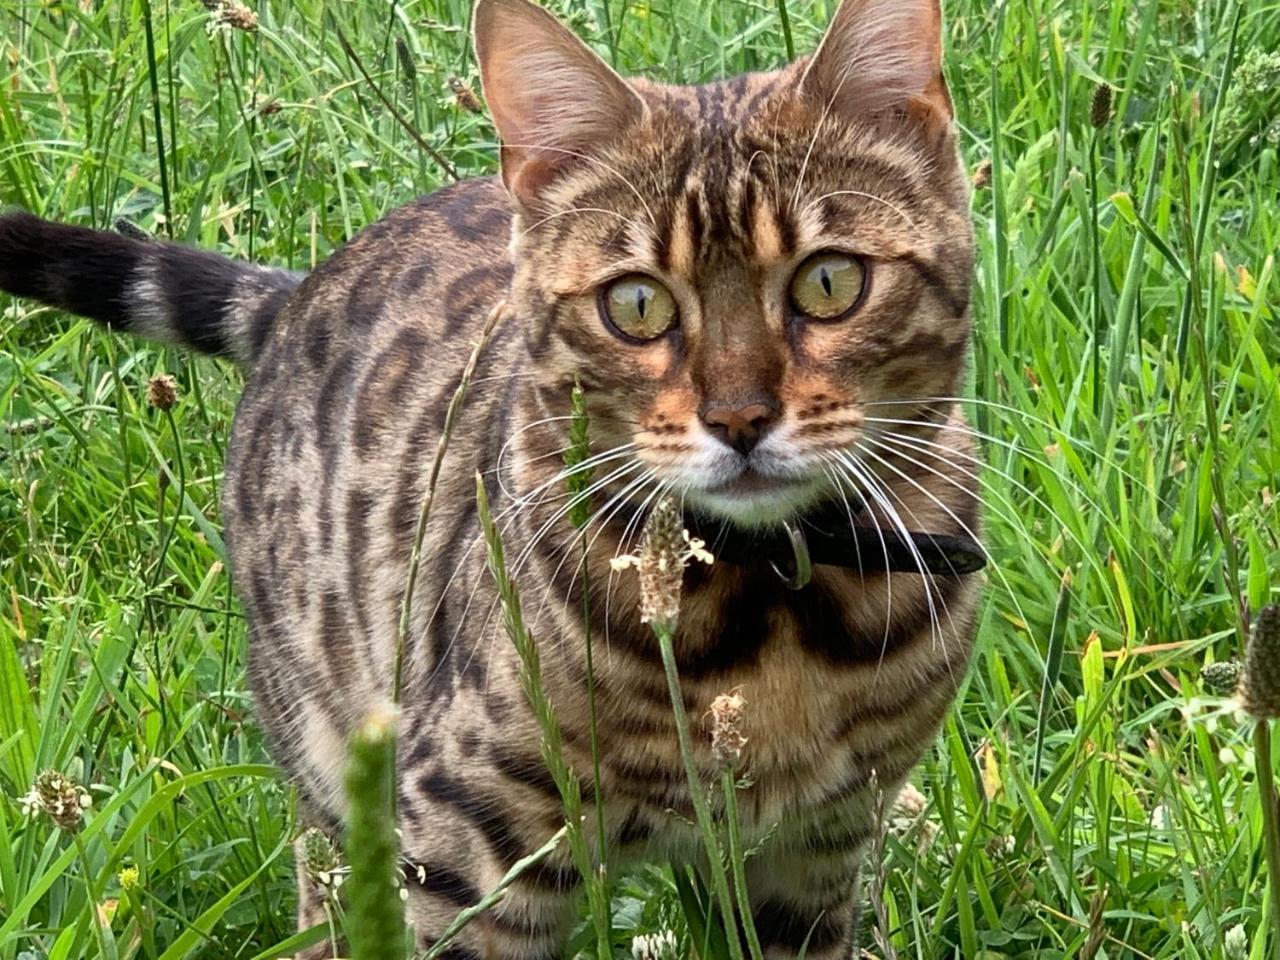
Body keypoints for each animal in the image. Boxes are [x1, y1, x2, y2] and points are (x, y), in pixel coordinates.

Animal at [0, 0, 977, 957]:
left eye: (829, 282)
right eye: (635, 304)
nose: (739, 419)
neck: (772, 620)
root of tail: (300, 290)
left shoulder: (811, 859)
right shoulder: (459, 841)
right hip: (327, 747)